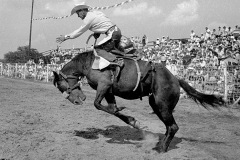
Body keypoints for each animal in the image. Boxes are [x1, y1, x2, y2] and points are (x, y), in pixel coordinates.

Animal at [52, 48, 225, 152]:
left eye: (61, 86)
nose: (77, 101)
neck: (90, 63)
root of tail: (176, 79)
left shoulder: (104, 85)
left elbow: (98, 105)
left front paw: (128, 118)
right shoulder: (108, 91)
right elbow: (111, 109)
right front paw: (131, 120)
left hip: (162, 105)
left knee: (173, 127)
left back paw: (162, 149)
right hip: (156, 105)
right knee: (169, 127)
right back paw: (159, 144)